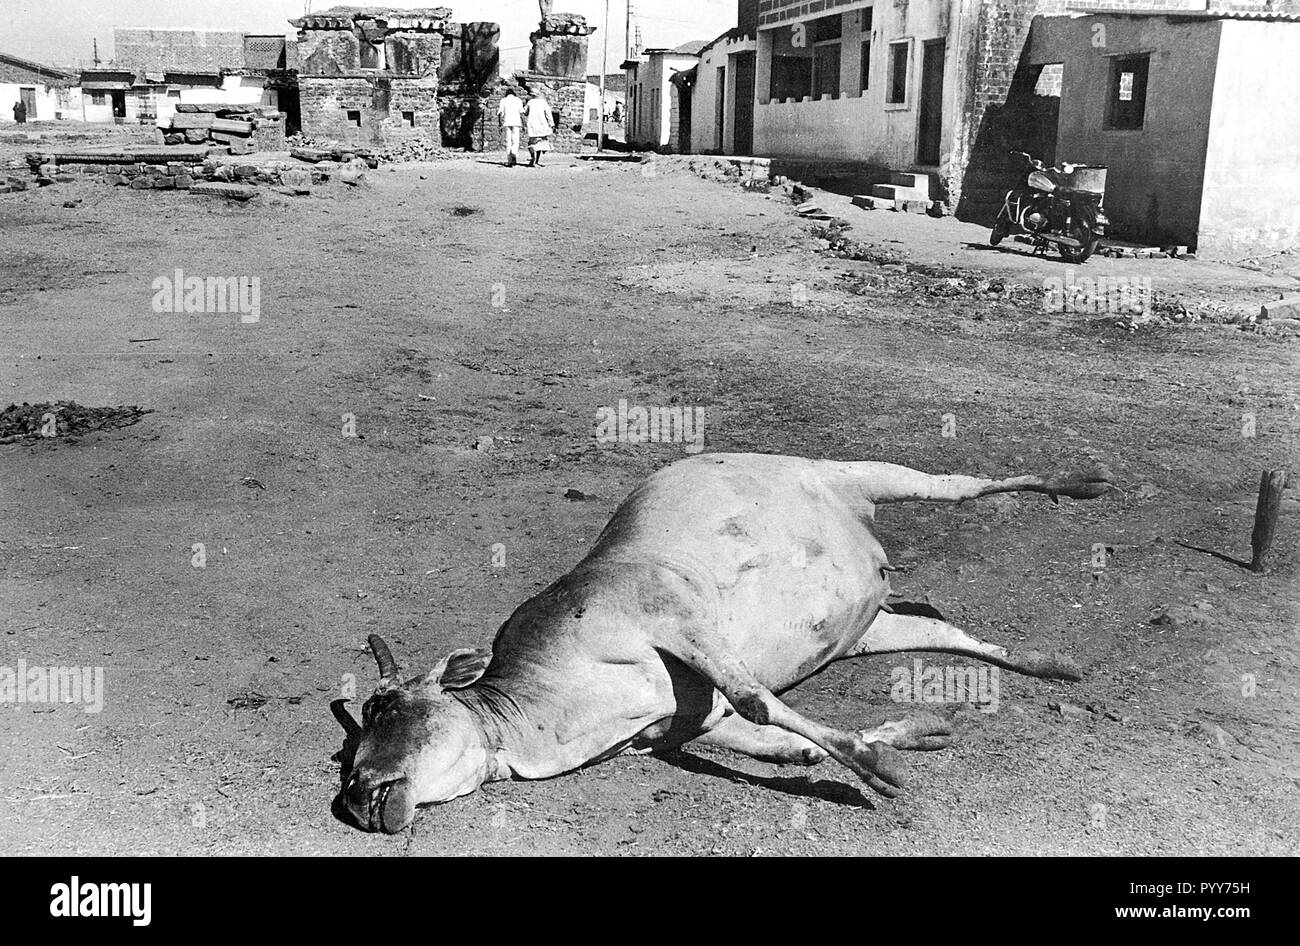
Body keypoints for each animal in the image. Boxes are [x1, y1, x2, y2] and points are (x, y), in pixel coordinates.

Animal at [340, 454, 1112, 831]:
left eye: (386, 708)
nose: (357, 796)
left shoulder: (675, 615)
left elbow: (759, 700)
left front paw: (880, 770)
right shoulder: (674, 724)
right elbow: (774, 739)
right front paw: (918, 734)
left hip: (859, 472)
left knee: (961, 485)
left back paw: (1084, 482)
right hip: (864, 629)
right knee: (944, 630)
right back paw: (1053, 664)